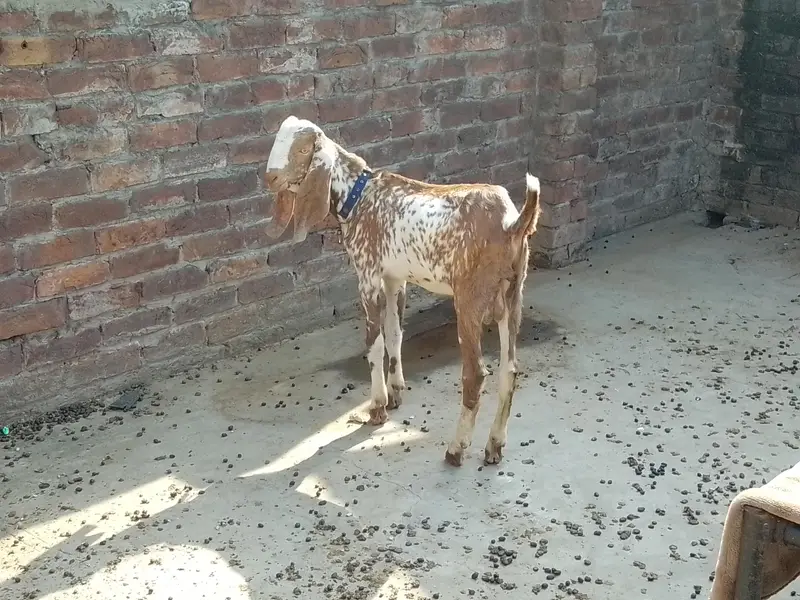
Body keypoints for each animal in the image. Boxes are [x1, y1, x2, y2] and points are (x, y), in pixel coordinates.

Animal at [264, 115, 541, 467]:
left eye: (302, 149)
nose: (270, 177)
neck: (360, 195)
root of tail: (512, 223)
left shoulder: (368, 275)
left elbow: (374, 343)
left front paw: (378, 407)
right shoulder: (395, 279)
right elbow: (394, 333)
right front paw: (396, 392)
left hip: (469, 300)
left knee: (476, 374)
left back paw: (456, 449)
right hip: (512, 297)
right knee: (510, 370)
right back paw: (494, 446)